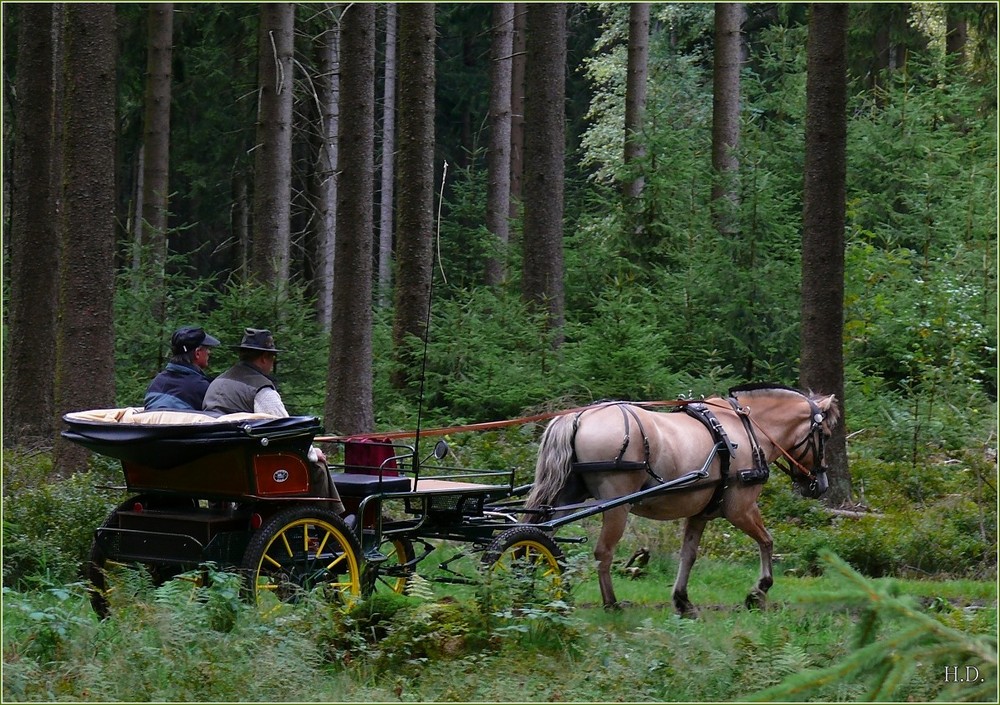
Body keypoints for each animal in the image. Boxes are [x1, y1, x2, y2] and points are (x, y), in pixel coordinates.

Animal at [528, 382, 840, 612]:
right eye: (824, 434)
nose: (820, 485)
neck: (747, 430)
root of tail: (577, 416)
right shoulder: (741, 508)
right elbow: (767, 541)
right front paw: (759, 591)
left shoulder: (700, 512)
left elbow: (688, 555)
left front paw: (682, 600)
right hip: (616, 505)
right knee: (602, 553)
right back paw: (611, 604)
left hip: (565, 496)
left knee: (539, 533)